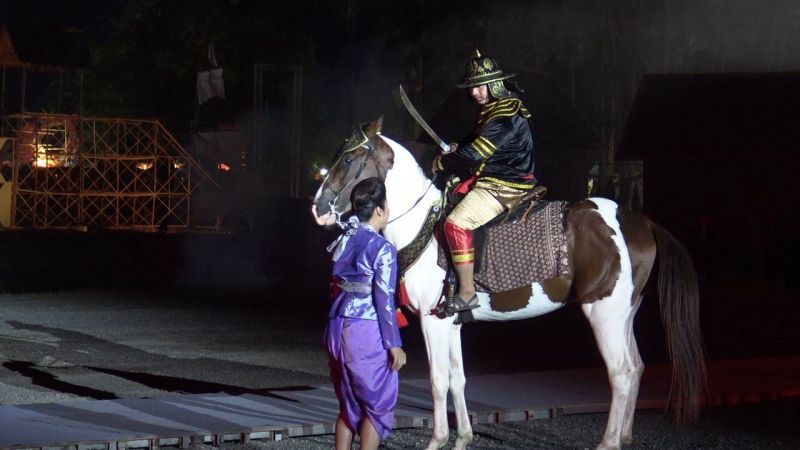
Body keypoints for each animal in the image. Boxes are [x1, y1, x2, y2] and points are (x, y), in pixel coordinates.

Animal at [312, 118, 708, 450]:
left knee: (622, 372)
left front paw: (437, 441)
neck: (421, 221)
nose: (318, 208)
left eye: (348, 158)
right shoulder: (450, 321)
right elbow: (457, 378)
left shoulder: (431, 321)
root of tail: (639, 221)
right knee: (638, 367)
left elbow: (438, 381)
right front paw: (462, 438)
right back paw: (624, 437)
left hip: (604, 313)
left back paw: (608, 442)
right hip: (625, 313)